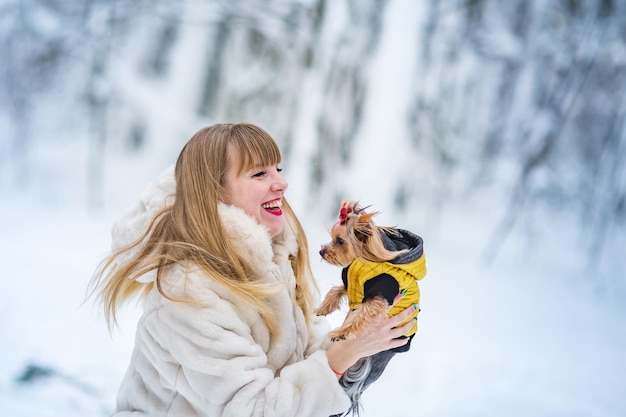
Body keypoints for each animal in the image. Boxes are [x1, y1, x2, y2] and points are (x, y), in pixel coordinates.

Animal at [314, 200, 426, 414]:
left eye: (340, 241)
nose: (321, 251)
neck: (365, 259)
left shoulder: (380, 295)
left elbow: (361, 313)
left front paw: (341, 332)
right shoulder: (352, 284)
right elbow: (335, 291)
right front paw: (322, 309)